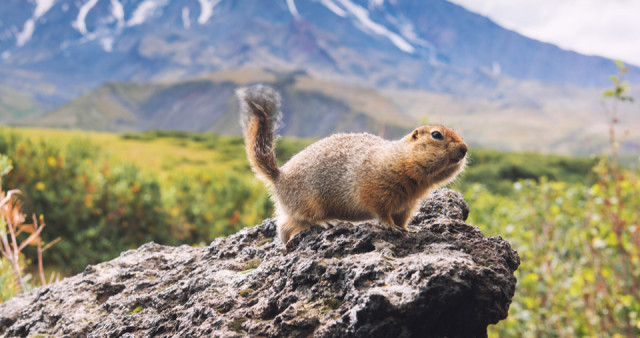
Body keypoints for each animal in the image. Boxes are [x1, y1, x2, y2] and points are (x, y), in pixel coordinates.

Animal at [238, 83, 468, 244]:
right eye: (436, 135)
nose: (465, 148)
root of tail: (279, 175)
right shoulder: (377, 187)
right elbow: (381, 210)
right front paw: (391, 227)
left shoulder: (408, 203)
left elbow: (403, 218)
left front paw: (407, 229)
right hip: (308, 201)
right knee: (306, 218)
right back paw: (327, 221)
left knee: (284, 226)